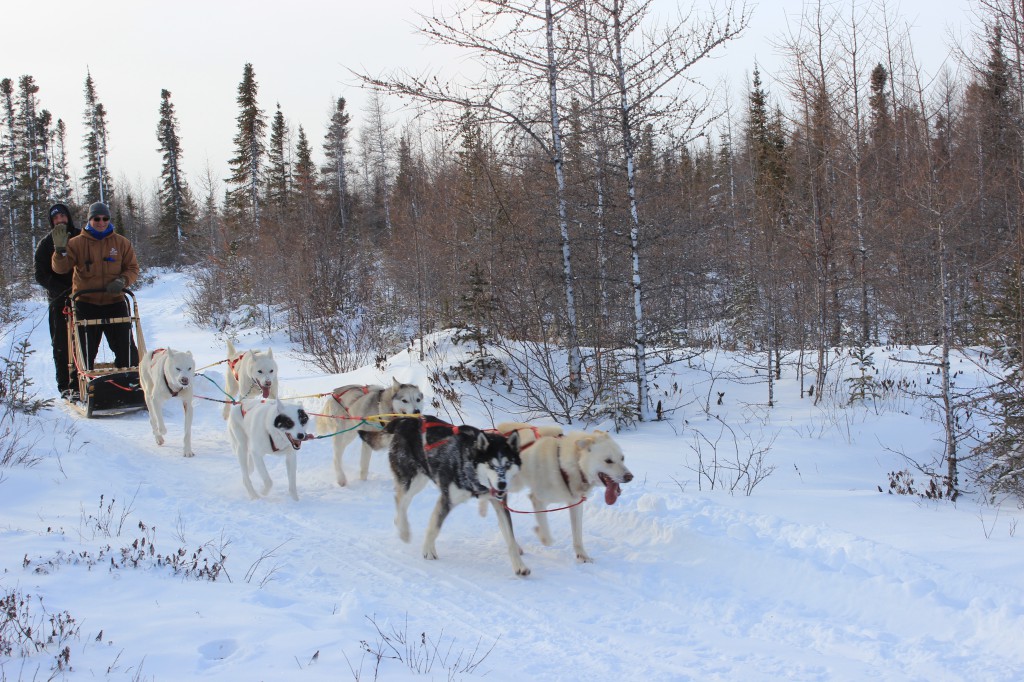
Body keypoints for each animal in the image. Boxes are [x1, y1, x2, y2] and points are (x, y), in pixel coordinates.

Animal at [385, 413, 528, 573]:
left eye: (508, 464)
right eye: (491, 465)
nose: (502, 484)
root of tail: (406, 419)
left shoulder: (500, 505)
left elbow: (510, 538)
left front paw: (520, 565)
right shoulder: (447, 499)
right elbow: (434, 527)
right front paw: (428, 550)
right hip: (413, 480)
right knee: (400, 501)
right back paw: (403, 531)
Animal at [495, 419, 630, 561]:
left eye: (622, 458)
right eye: (608, 461)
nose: (630, 476)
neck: (564, 465)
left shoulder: (575, 504)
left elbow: (577, 535)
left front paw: (582, 555)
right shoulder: (538, 500)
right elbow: (547, 537)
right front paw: (539, 532)